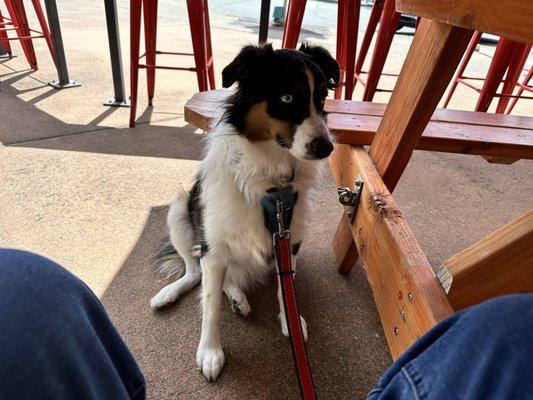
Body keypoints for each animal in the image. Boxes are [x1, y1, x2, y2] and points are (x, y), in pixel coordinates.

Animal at [149, 43, 340, 382]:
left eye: (321, 99)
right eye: (286, 97)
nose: (326, 148)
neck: (271, 183)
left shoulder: (289, 239)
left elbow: (285, 288)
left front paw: (290, 320)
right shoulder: (212, 246)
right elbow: (210, 304)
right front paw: (210, 351)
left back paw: (237, 297)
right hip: (179, 213)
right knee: (195, 271)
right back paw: (170, 293)